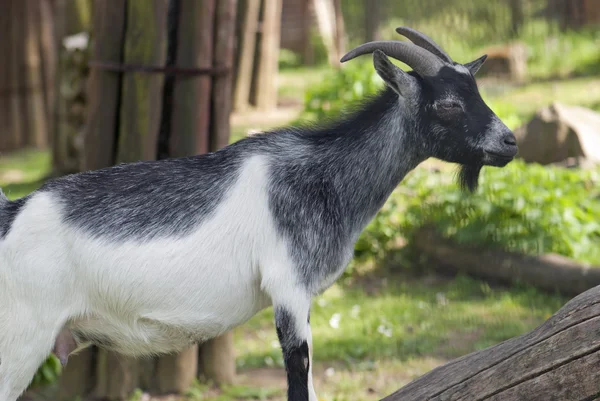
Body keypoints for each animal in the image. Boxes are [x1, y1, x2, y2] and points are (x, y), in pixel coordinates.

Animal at [0, 28, 516, 400]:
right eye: (448, 103)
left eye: (477, 91)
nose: (510, 142)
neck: (320, 175)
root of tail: (12, 214)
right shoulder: (287, 286)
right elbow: (298, 376)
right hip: (22, 336)